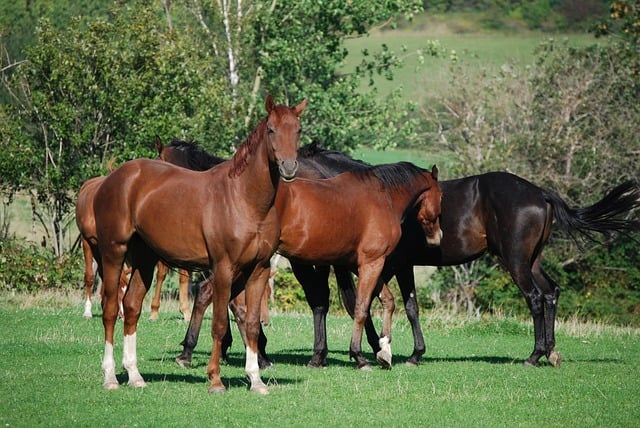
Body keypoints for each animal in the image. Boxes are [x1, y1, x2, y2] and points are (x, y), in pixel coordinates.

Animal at [92, 95, 306, 394]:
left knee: (132, 306)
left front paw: (255, 380)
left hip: (145, 258)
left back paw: (135, 375)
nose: (288, 167)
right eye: (272, 130)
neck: (243, 199)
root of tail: (113, 178)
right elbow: (218, 324)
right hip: (114, 252)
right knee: (111, 309)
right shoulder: (224, 269)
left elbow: (252, 323)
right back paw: (110, 376)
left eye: (298, 130)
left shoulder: (259, 269)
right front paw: (215, 379)